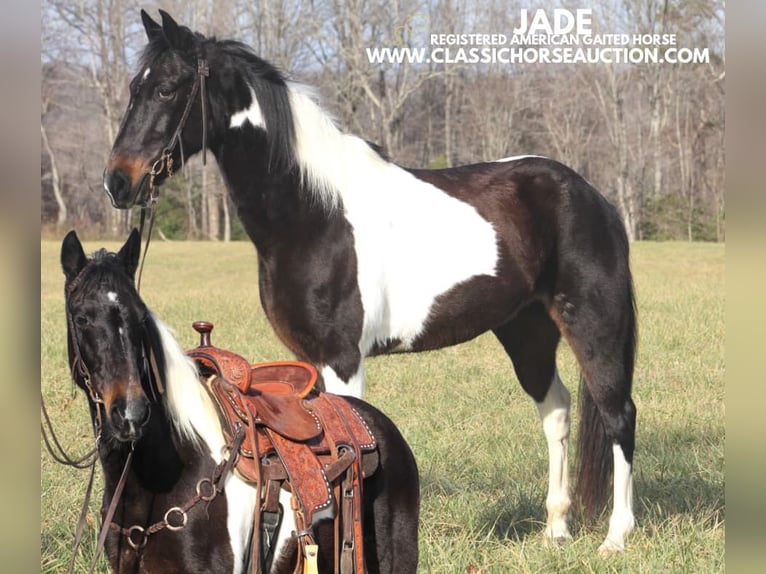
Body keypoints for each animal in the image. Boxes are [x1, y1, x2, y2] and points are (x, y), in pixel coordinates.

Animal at [105, 10, 640, 560]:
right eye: (134, 88)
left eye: (167, 88)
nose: (117, 182)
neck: (313, 211)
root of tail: (592, 196)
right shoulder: (309, 362)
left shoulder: (342, 359)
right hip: (527, 331)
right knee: (556, 411)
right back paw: (556, 529)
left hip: (594, 325)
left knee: (618, 415)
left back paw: (616, 536)